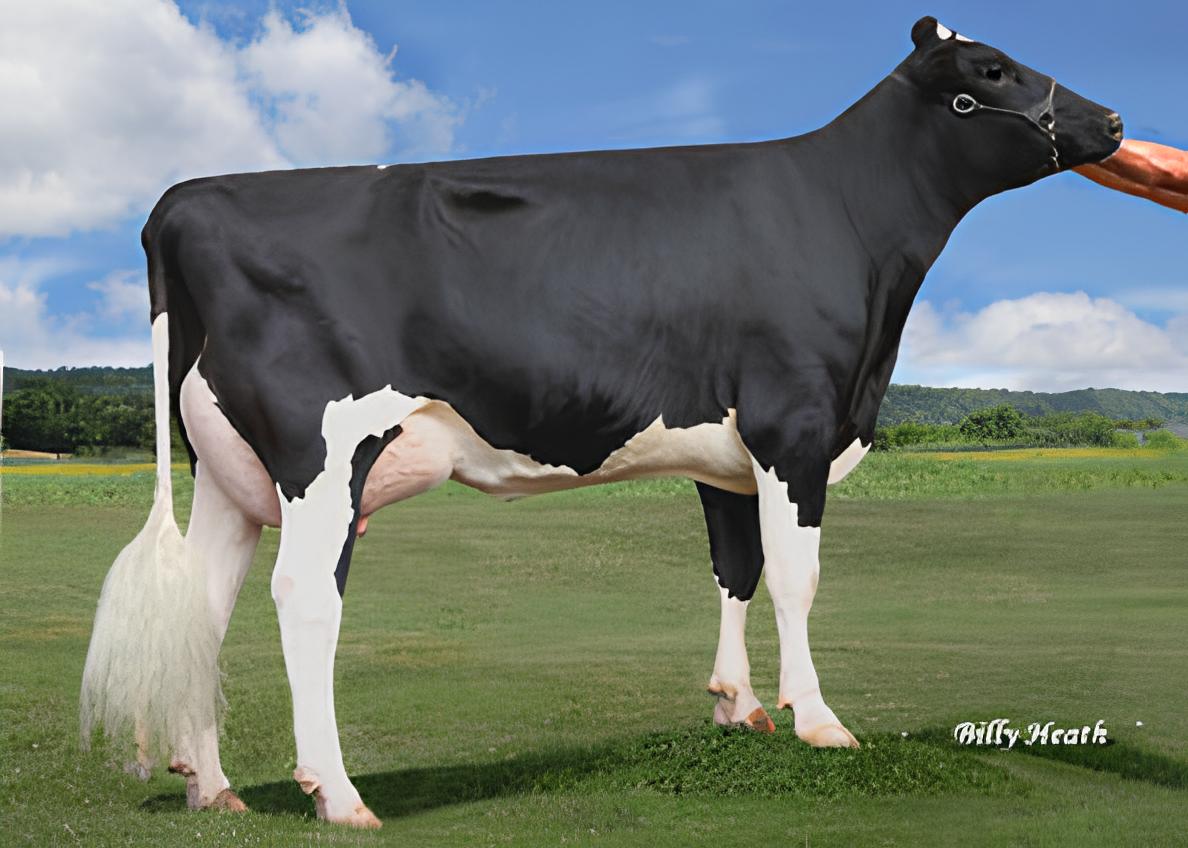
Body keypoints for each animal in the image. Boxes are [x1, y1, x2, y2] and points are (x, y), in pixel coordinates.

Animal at [81, 17, 1123, 828]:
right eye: (990, 70)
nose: (1111, 120)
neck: (844, 221)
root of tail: (185, 197)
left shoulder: (727, 452)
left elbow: (735, 570)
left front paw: (737, 708)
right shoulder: (795, 426)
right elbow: (797, 579)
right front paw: (819, 720)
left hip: (229, 469)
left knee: (203, 607)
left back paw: (211, 785)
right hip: (321, 457)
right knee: (303, 598)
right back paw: (336, 793)